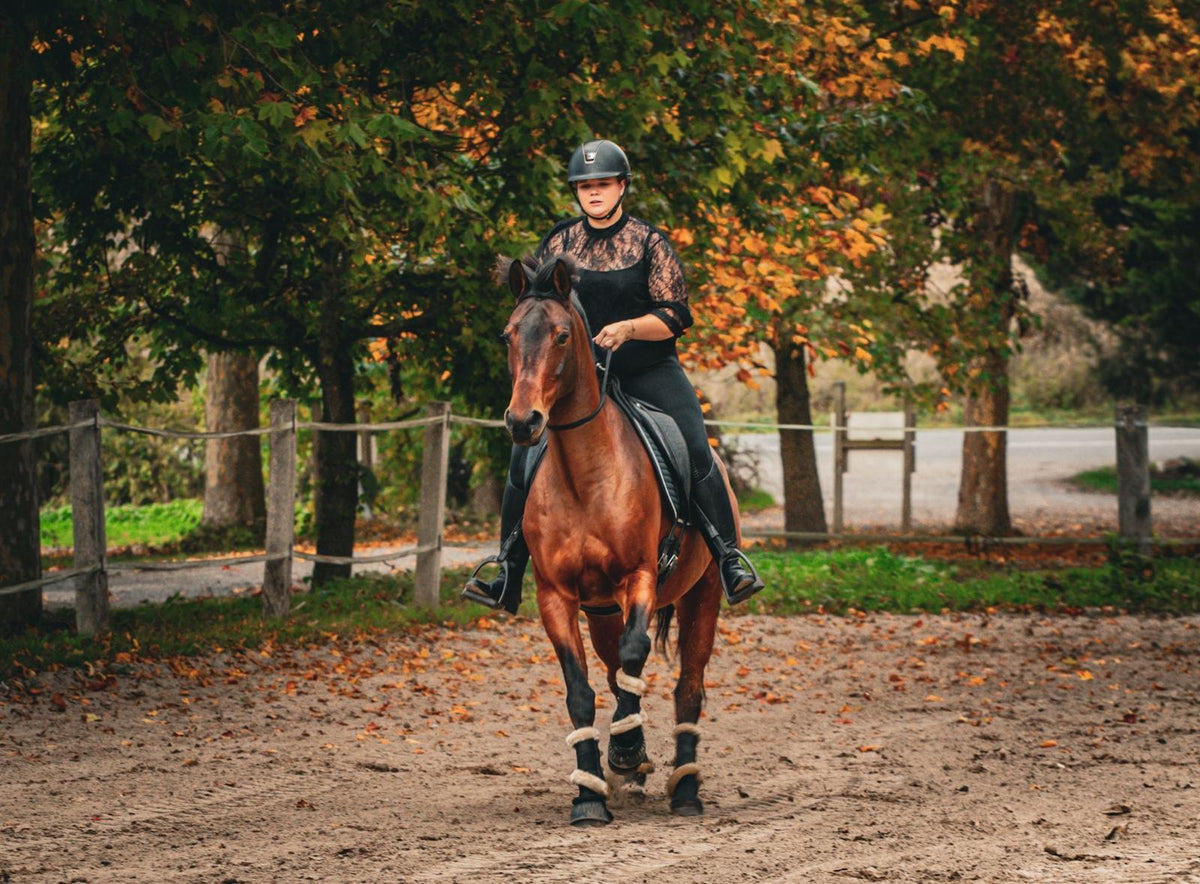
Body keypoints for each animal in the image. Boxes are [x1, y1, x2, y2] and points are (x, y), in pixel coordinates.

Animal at [498, 252, 742, 826]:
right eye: (508, 335)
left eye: (562, 335)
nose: (523, 422)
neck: (584, 476)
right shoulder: (557, 596)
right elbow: (581, 691)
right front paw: (590, 793)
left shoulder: (640, 577)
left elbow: (637, 651)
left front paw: (627, 751)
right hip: (601, 610)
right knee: (614, 675)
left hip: (702, 596)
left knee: (687, 687)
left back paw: (684, 788)